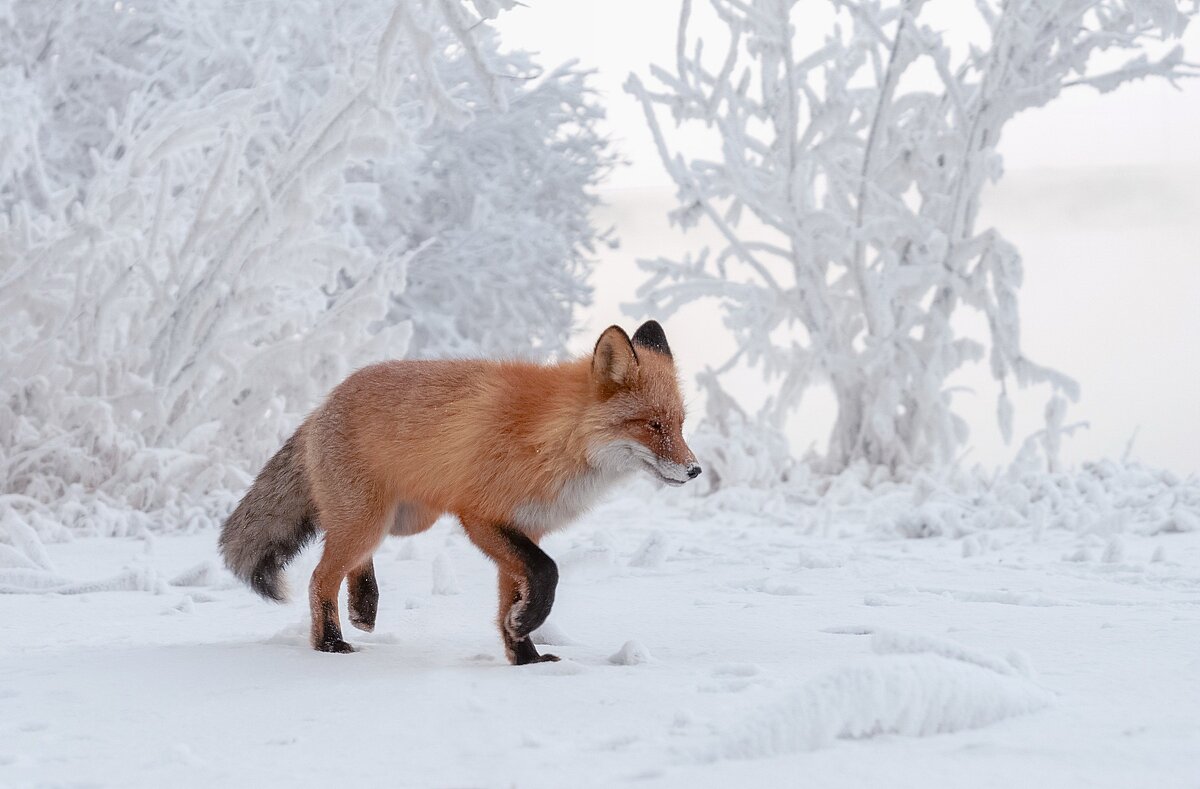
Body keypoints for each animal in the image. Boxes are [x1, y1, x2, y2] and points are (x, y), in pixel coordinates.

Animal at [220, 318, 700, 657]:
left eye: (679, 424)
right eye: (652, 425)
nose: (694, 470)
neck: (554, 437)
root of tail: (321, 405)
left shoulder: (524, 528)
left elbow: (512, 601)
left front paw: (526, 657)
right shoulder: (481, 516)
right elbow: (548, 572)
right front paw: (526, 630)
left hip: (402, 520)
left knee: (351, 561)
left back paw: (364, 605)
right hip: (369, 520)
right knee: (321, 577)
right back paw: (330, 644)